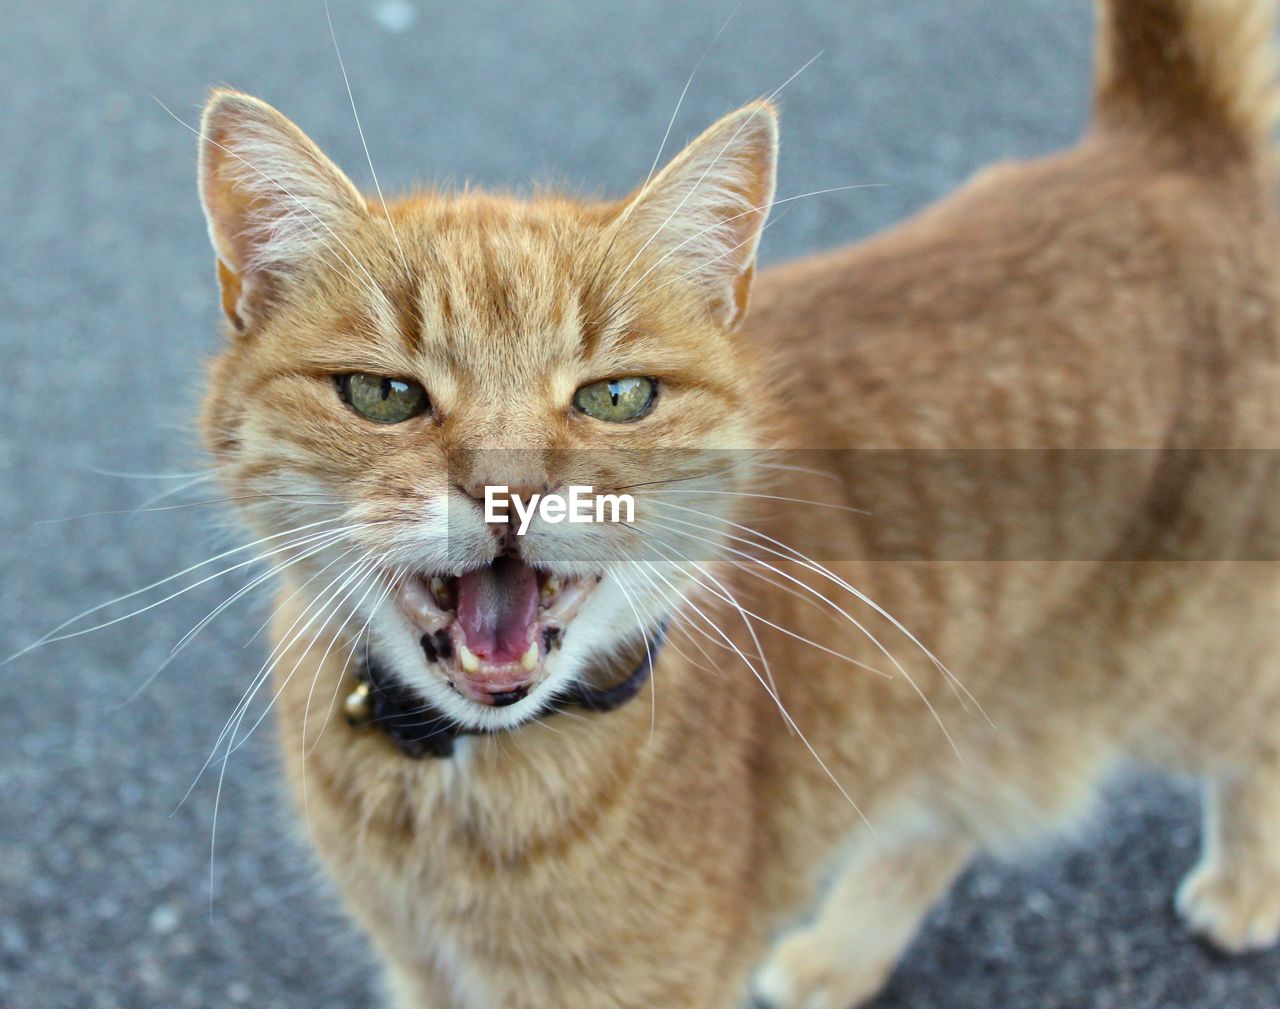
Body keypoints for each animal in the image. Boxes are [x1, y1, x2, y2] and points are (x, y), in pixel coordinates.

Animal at [194, 1, 1280, 1009]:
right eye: (384, 395)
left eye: (616, 397)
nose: (510, 486)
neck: (454, 783)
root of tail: (1164, 139)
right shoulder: (424, 973)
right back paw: (837, 954)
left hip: (1180, 668)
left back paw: (1242, 887)